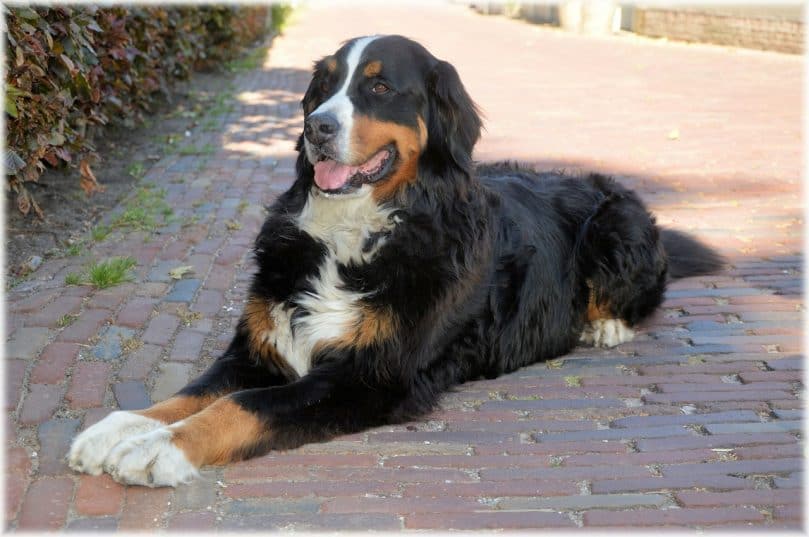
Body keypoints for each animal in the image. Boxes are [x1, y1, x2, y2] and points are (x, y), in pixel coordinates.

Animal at [66, 33, 720, 486]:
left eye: (379, 88)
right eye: (322, 89)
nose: (315, 127)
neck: (350, 234)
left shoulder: (368, 376)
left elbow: (240, 407)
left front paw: (159, 450)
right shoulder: (257, 348)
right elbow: (187, 395)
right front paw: (118, 430)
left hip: (617, 221)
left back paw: (604, 325)